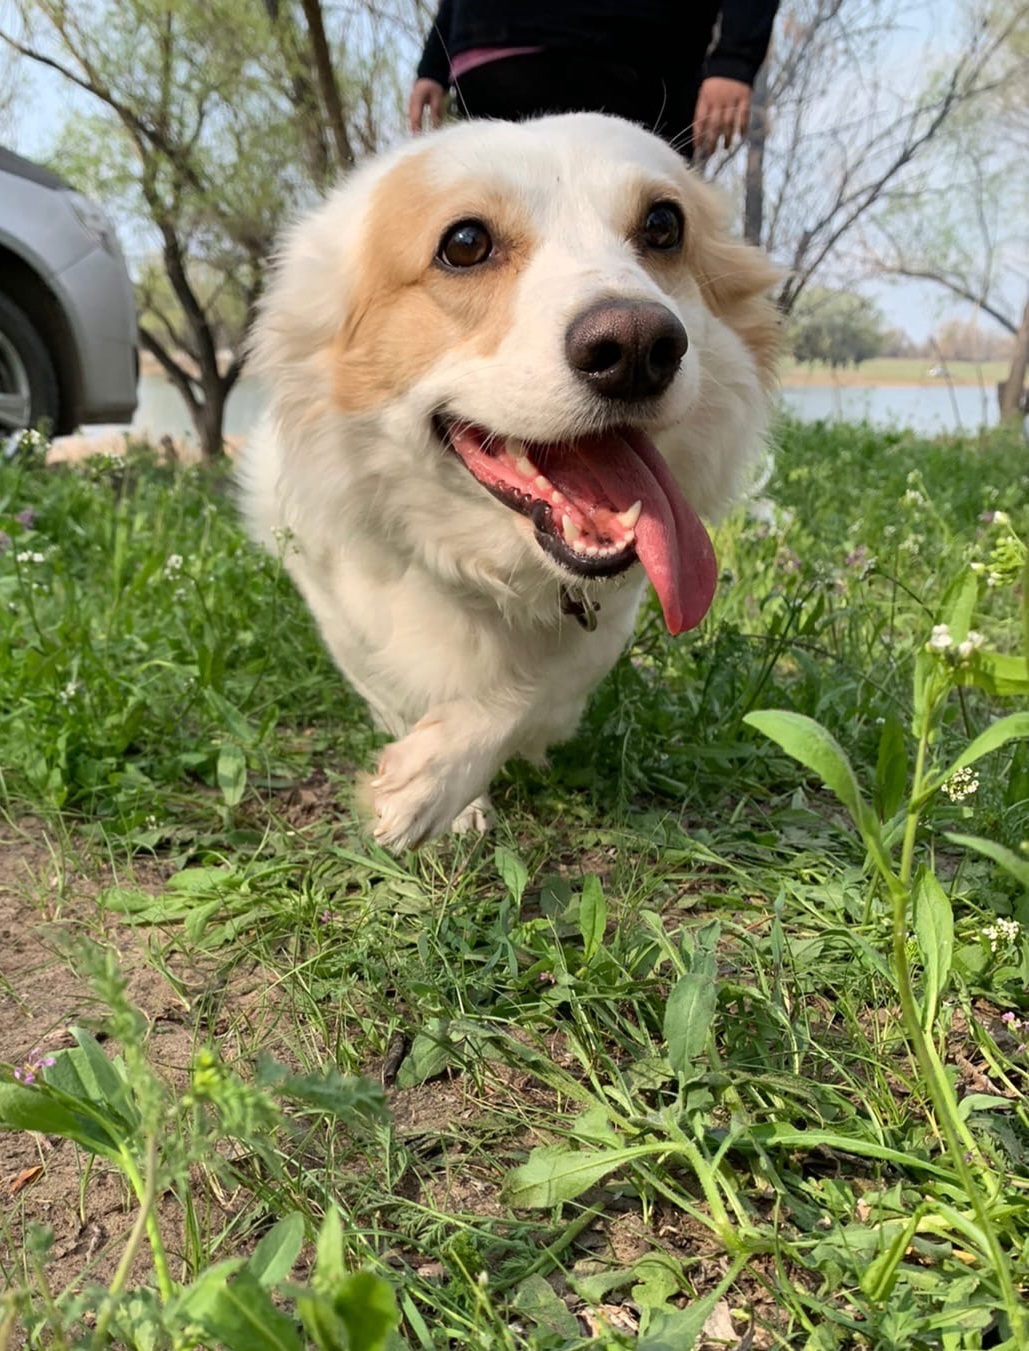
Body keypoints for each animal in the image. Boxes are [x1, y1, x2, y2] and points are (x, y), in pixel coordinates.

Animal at [236, 118, 772, 853]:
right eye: (465, 244)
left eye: (664, 225)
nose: (638, 346)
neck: (489, 563)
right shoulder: (337, 597)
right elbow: (392, 684)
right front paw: (448, 793)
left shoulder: (611, 613)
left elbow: (536, 688)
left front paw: (434, 777)